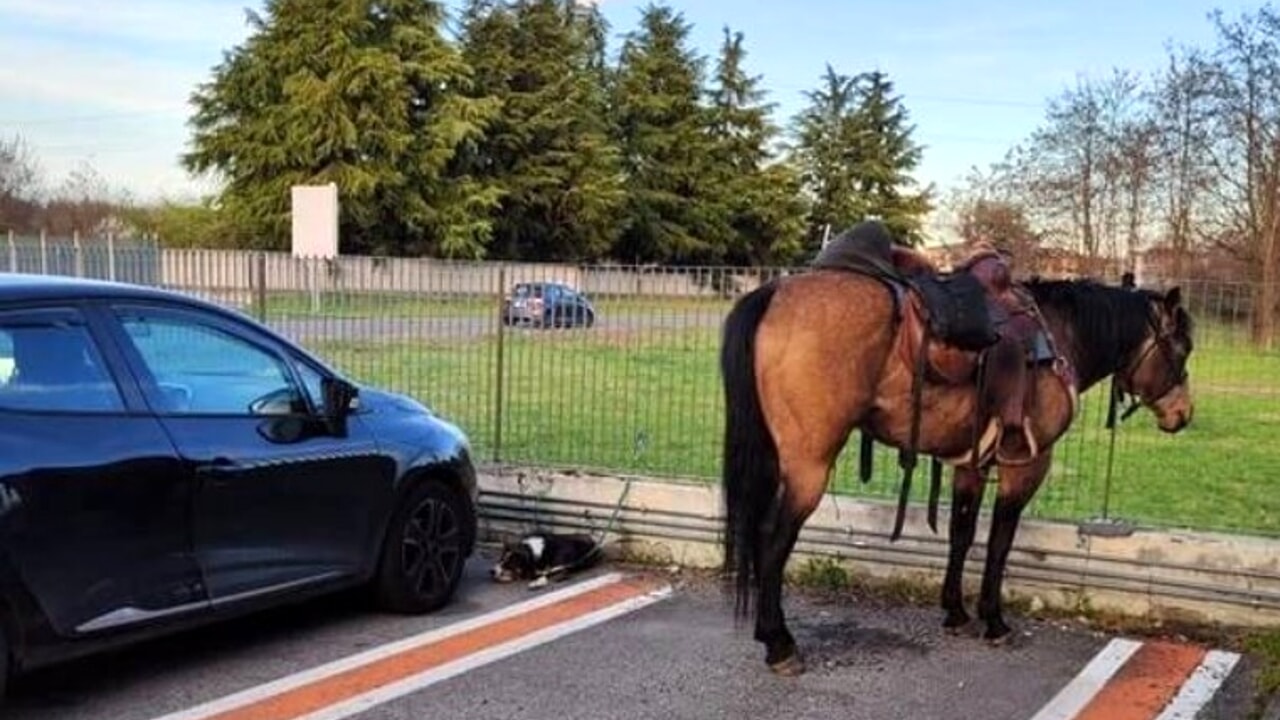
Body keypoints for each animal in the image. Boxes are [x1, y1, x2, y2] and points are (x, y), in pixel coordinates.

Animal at [716, 233, 1192, 671]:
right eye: (1182, 348)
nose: (1183, 414)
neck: (1059, 338)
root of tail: (775, 291)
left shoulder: (972, 464)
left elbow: (960, 533)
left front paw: (956, 612)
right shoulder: (1027, 465)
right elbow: (999, 541)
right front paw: (994, 621)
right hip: (809, 468)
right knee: (773, 537)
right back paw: (779, 643)